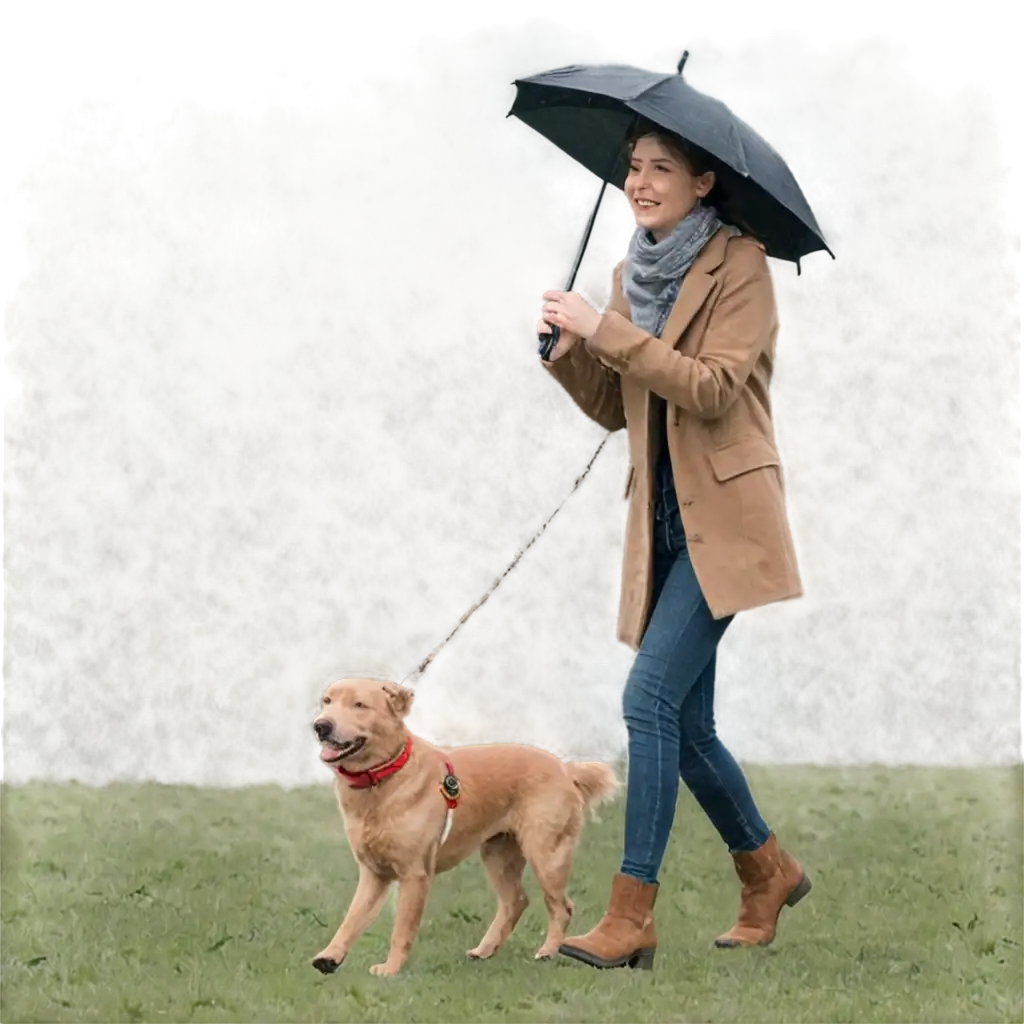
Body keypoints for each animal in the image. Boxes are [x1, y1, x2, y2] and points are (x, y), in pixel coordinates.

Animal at [307, 675, 618, 978]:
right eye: (327, 701)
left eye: (359, 704)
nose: (320, 726)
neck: (382, 779)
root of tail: (566, 769)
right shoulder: (374, 873)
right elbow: (352, 919)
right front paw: (329, 957)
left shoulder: (415, 874)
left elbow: (401, 929)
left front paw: (390, 969)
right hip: (498, 855)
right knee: (516, 901)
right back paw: (485, 950)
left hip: (545, 855)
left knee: (562, 907)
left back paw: (547, 951)